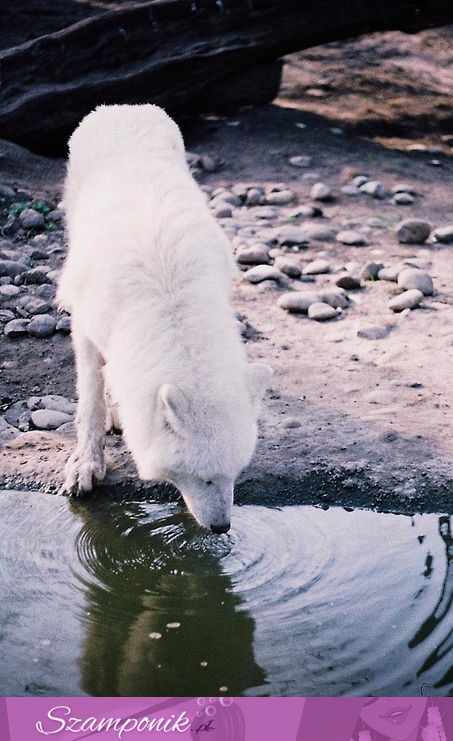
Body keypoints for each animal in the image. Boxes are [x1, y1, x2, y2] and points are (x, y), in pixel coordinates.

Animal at [59, 104, 272, 532]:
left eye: (234, 473)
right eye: (203, 478)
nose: (222, 528)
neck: (169, 300)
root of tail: (122, 107)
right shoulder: (86, 328)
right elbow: (90, 398)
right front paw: (87, 464)